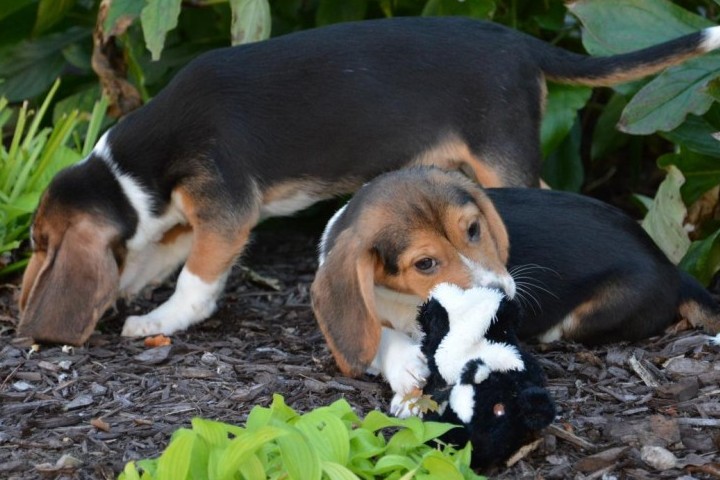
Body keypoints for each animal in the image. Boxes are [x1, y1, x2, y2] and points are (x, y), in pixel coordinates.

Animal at [16, 15, 720, 344]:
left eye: (39, 244)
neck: (133, 170)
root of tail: (520, 42)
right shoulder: (186, 215)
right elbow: (158, 253)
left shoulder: (225, 210)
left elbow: (196, 275)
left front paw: (165, 317)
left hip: (500, 155)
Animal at [314, 167, 720, 414]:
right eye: (425, 264)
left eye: (474, 229)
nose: (503, 298)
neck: (404, 301)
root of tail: (670, 265)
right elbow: (376, 335)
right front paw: (404, 367)